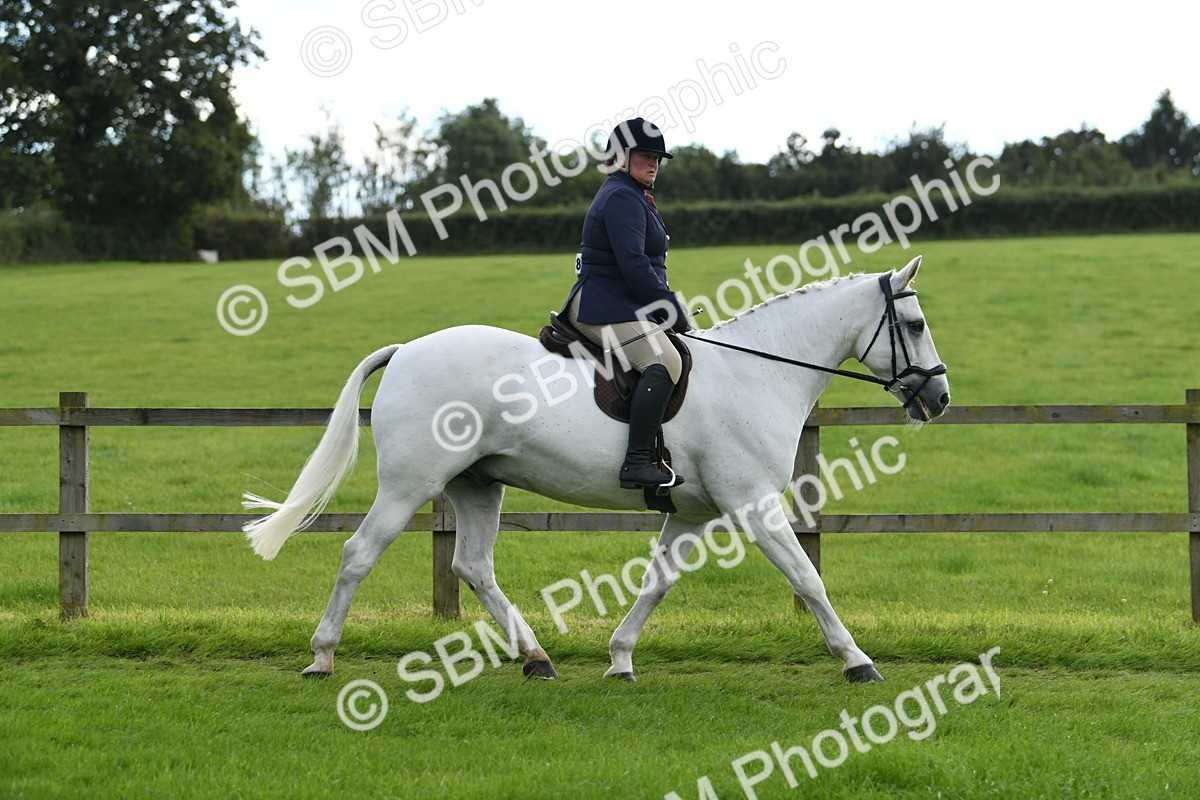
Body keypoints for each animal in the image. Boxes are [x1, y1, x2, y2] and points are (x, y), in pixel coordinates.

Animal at [244, 255, 950, 683]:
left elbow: (657, 583)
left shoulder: (691, 514)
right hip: (409, 485)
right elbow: (807, 578)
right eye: (914, 323)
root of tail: (407, 350)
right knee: (359, 553)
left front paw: (619, 659)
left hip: (478, 485)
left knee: (472, 566)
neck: (758, 371)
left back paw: (536, 659)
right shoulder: (751, 503)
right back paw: (321, 658)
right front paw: (857, 661)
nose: (940, 398)